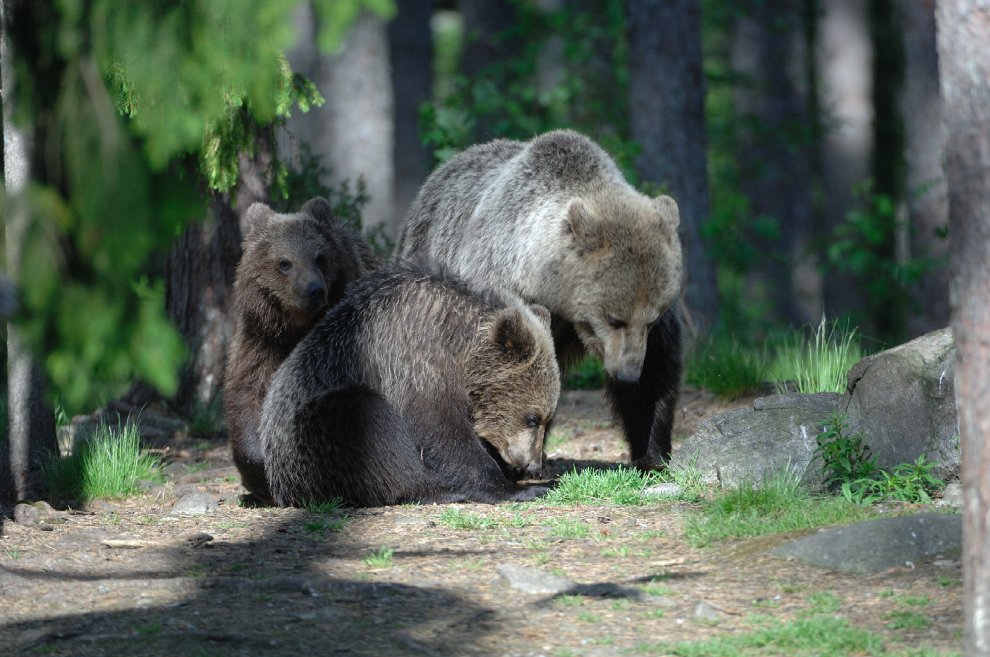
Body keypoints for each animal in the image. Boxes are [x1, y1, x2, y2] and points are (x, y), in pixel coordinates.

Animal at [225, 197, 377, 504]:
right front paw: (259, 468)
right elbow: (248, 393)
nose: (314, 290)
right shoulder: (260, 342)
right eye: (285, 262)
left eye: (320, 257)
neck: (295, 327)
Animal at [259, 264, 561, 507]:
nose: (532, 464)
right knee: (362, 416)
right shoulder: (414, 359)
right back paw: (437, 490)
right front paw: (514, 489)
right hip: (307, 440)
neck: (460, 346)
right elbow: (440, 429)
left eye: (547, 419)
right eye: (533, 418)